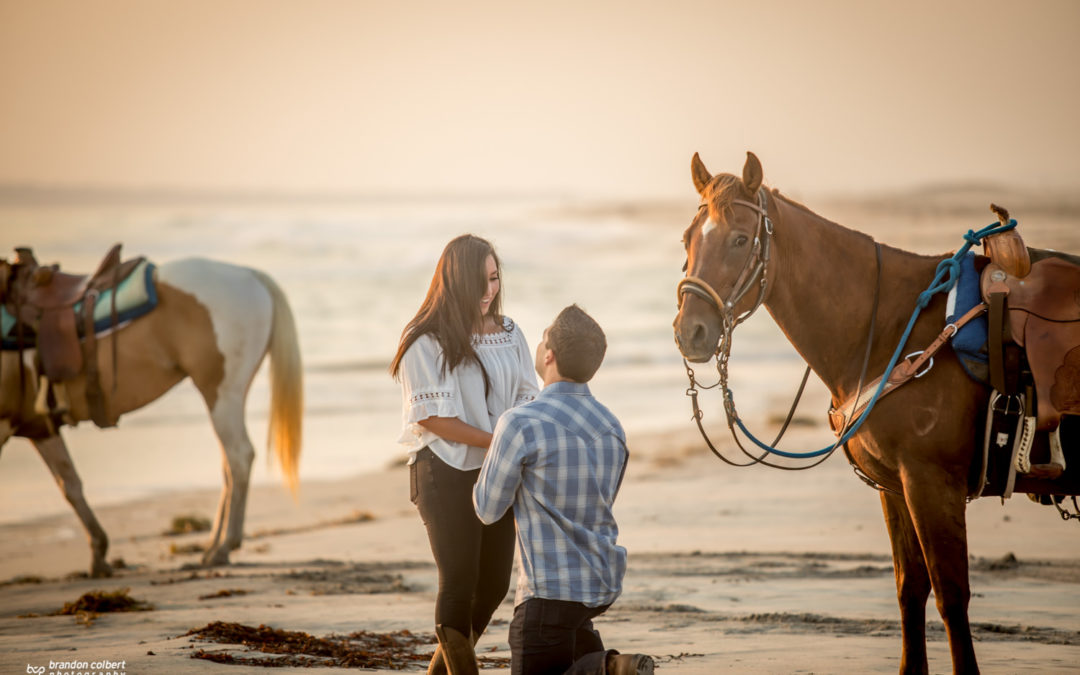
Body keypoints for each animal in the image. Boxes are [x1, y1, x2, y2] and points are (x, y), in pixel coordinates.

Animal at [1, 254, 304, 574]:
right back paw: (212, 546)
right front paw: (99, 555)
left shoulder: (10, 424)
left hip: (221, 392)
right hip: (228, 396)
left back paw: (224, 547)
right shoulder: (39, 426)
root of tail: (250, 273)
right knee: (229, 465)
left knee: (239, 457)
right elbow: (69, 484)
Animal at [669, 152, 1075, 673]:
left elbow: (951, 595)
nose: (690, 332)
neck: (889, 327)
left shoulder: (931, 483)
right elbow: (910, 591)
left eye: (741, 239)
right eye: (687, 238)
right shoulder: (896, 487)